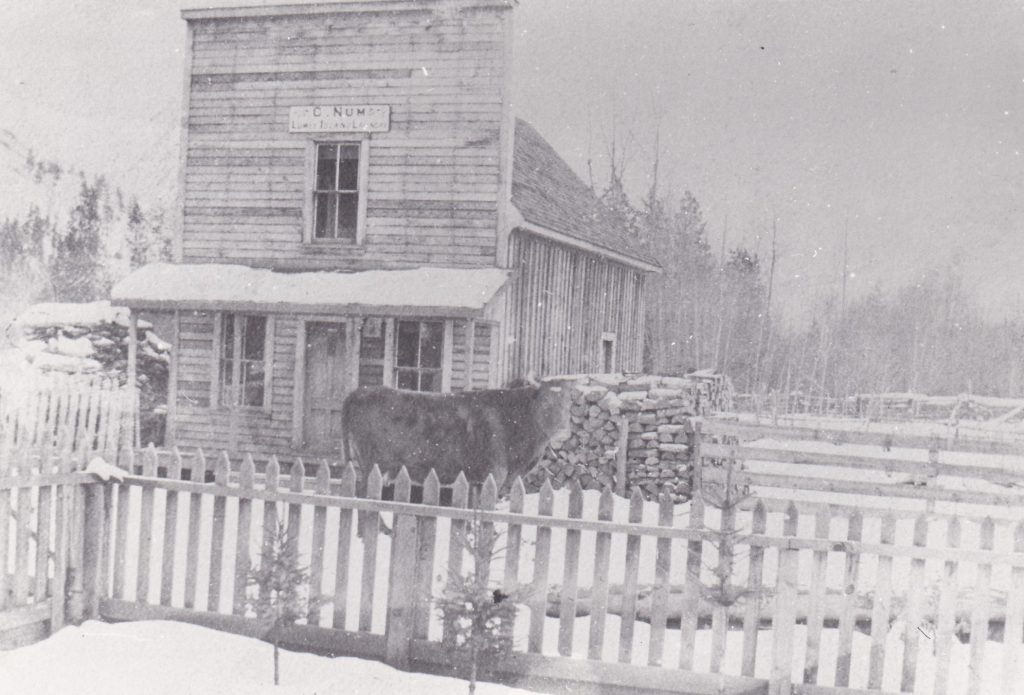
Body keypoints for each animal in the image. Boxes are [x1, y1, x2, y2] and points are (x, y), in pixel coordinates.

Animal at [339, 378, 573, 497]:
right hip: (373, 462)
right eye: (545, 402)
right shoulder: (494, 472)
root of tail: (361, 390)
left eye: (568, 404)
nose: (563, 430)